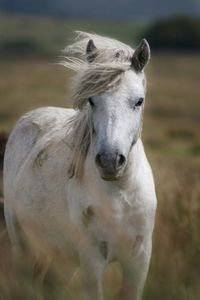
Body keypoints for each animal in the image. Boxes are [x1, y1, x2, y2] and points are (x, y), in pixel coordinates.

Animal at [2, 32, 156, 300]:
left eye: (139, 101)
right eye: (91, 100)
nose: (110, 161)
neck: (120, 196)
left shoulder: (138, 262)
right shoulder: (92, 261)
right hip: (23, 244)